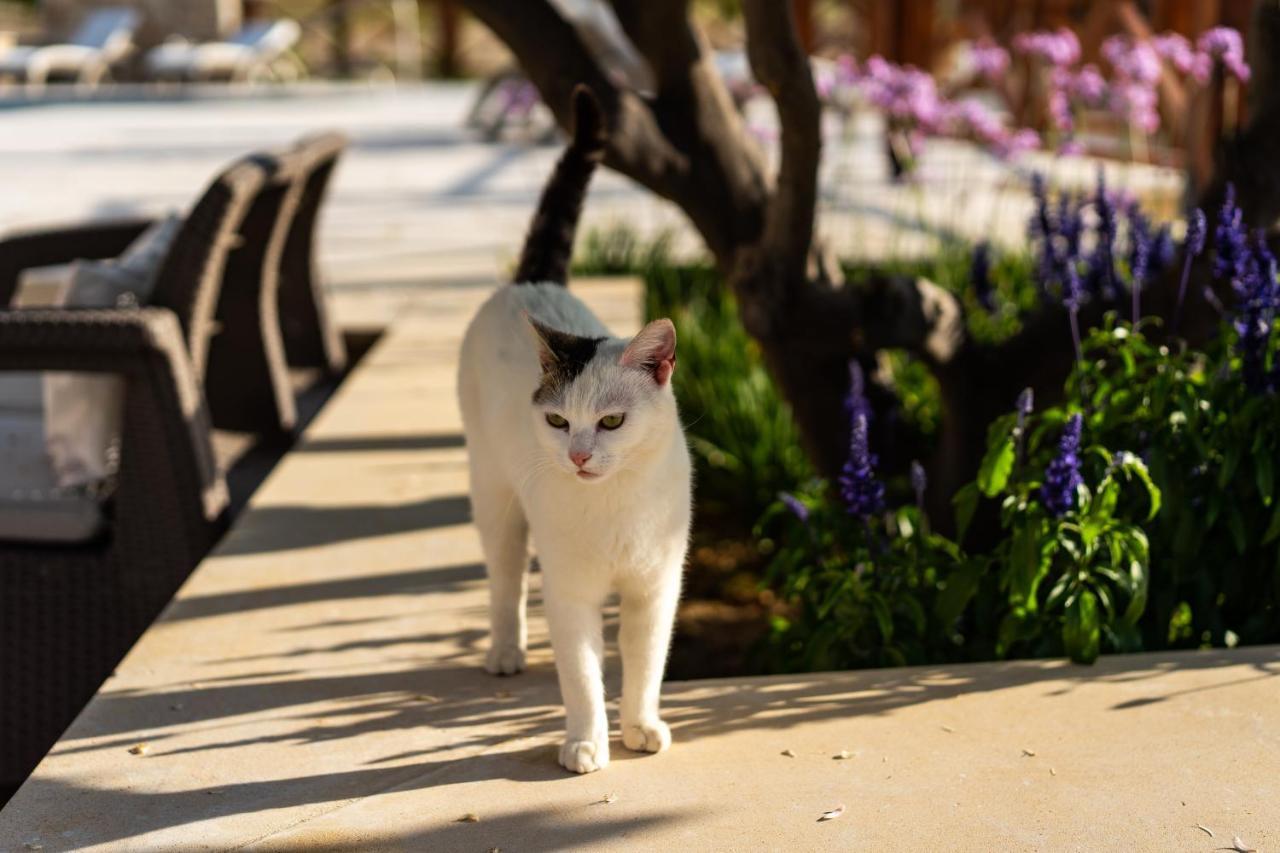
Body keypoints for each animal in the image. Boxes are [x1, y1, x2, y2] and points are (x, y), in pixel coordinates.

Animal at [458, 86, 691, 768]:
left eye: (611, 421)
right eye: (559, 420)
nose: (580, 456)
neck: (615, 506)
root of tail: (531, 280)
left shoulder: (655, 589)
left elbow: (645, 664)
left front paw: (641, 725)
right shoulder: (571, 591)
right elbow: (583, 674)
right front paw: (586, 743)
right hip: (495, 498)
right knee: (505, 579)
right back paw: (505, 650)